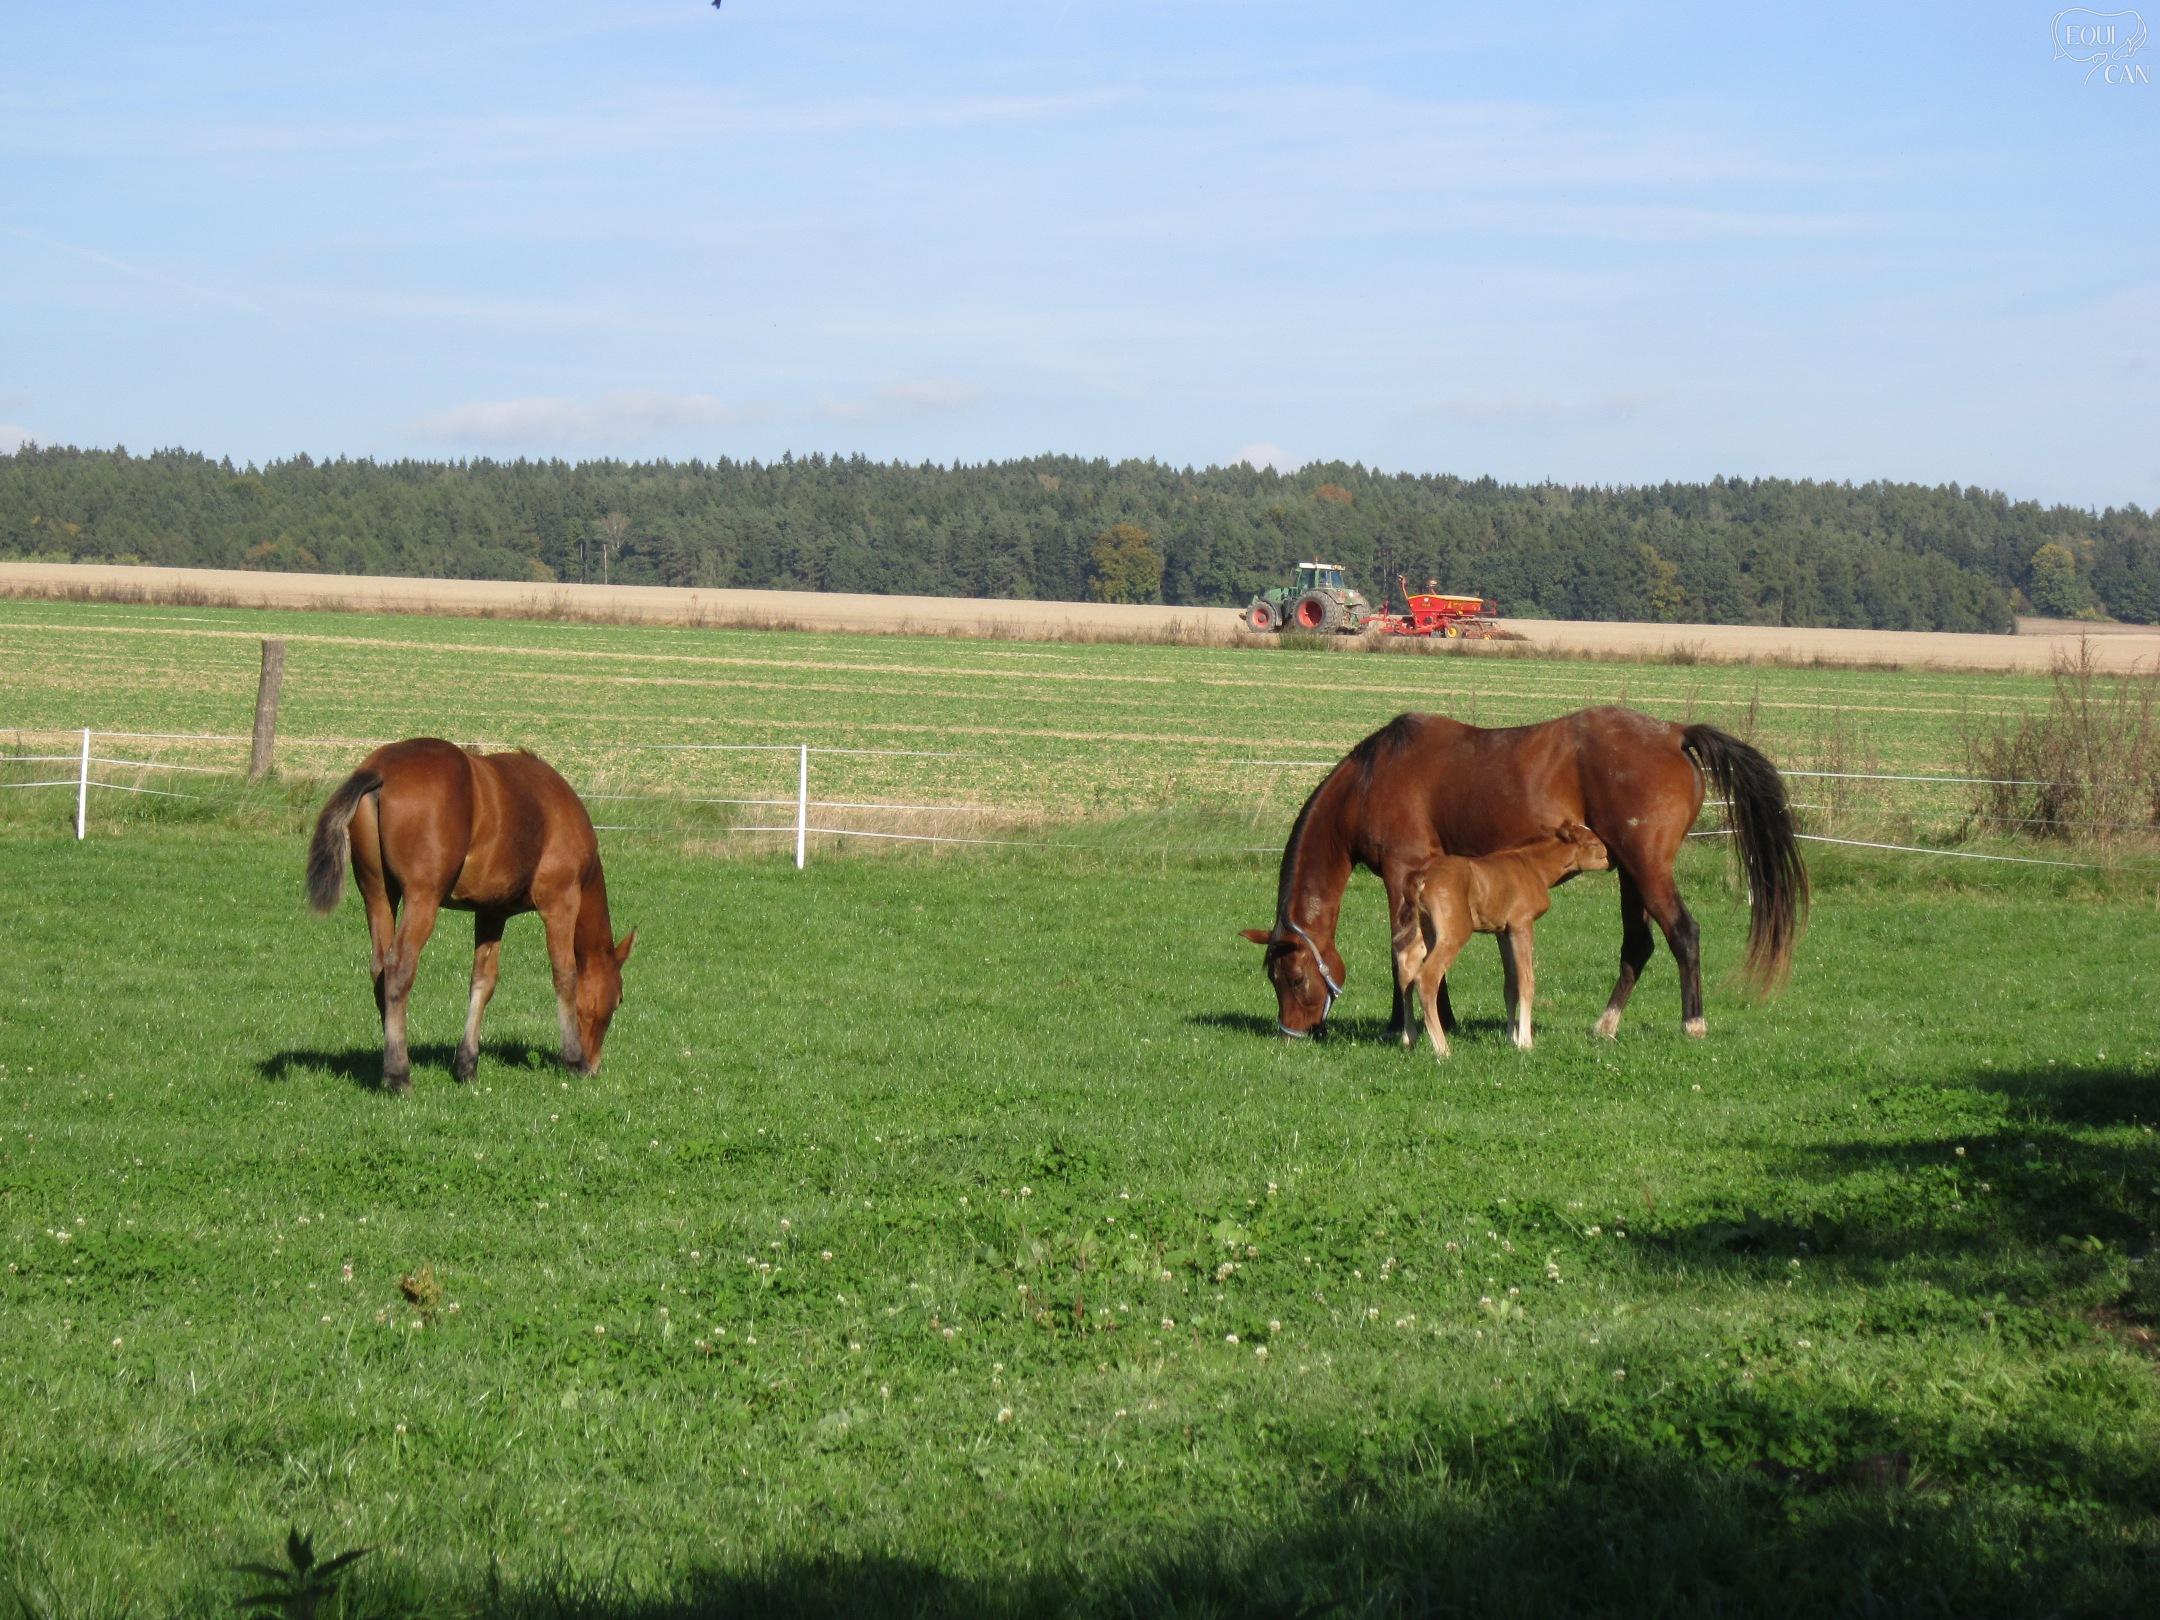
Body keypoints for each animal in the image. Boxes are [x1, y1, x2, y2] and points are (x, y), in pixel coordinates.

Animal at [304, 739, 634, 1091]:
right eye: (617, 1000)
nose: (595, 1065)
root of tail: (381, 770)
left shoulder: (492, 913)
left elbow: (483, 981)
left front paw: (466, 1064)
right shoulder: (560, 903)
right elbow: (565, 975)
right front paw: (572, 1058)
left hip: (378, 894)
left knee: (379, 969)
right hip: (422, 899)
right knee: (398, 967)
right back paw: (398, 1074)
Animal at [1406, 821, 1610, 1058]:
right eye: (1593, 843)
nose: (1611, 859)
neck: (1535, 868)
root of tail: (1423, 879)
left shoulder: (1502, 932)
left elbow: (1510, 984)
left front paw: (1511, 1038)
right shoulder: (1522, 925)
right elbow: (1526, 981)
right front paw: (1525, 1041)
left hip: (1424, 931)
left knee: (1406, 970)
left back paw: (1408, 1038)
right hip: (1454, 932)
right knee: (1426, 977)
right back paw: (1442, 1048)